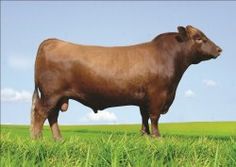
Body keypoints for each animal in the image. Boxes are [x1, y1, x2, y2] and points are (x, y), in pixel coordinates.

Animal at [30, 25, 222, 140]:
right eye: (199, 38)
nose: (219, 49)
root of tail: (53, 41)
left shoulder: (144, 99)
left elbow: (144, 117)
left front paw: (145, 135)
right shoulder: (158, 95)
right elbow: (154, 117)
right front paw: (157, 137)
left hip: (58, 96)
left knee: (52, 116)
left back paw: (58, 139)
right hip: (51, 94)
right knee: (41, 113)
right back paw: (38, 139)